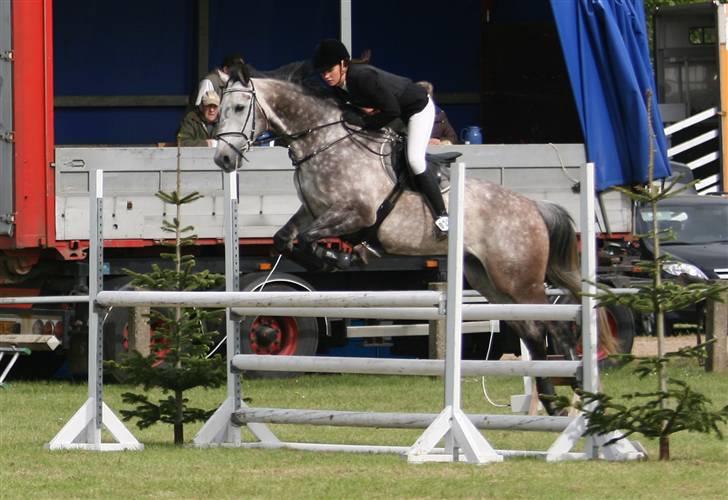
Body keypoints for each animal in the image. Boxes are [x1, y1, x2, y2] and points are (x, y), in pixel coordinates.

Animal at [213, 63, 612, 414]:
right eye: (218, 112)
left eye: (239, 108)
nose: (222, 159)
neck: (325, 141)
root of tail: (533, 206)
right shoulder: (312, 212)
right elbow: (285, 240)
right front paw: (338, 257)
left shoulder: (355, 213)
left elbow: (310, 240)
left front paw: (344, 257)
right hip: (491, 281)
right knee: (532, 334)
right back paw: (553, 404)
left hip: (521, 280)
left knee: (555, 330)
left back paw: (576, 401)